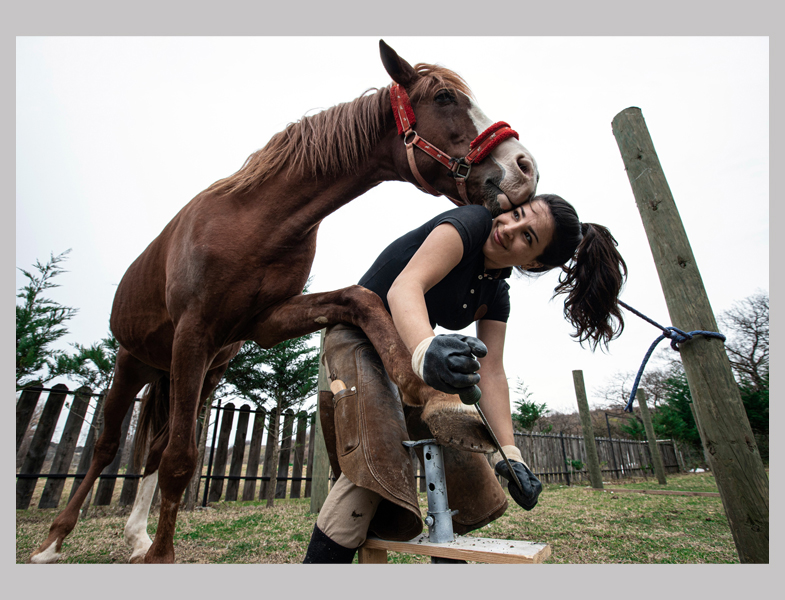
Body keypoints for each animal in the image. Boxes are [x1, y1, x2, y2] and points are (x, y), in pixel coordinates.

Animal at [29, 41, 532, 564]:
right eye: (445, 98)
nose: (524, 165)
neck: (255, 220)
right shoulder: (194, 331)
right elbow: (180, 461)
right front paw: (162, 557)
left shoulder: (266, 323)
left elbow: (362, 298)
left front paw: (427, 382)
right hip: (135, 363)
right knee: (108, 447)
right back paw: (54, 542)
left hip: (201, 372)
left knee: (154, 446)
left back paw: (136, 536)